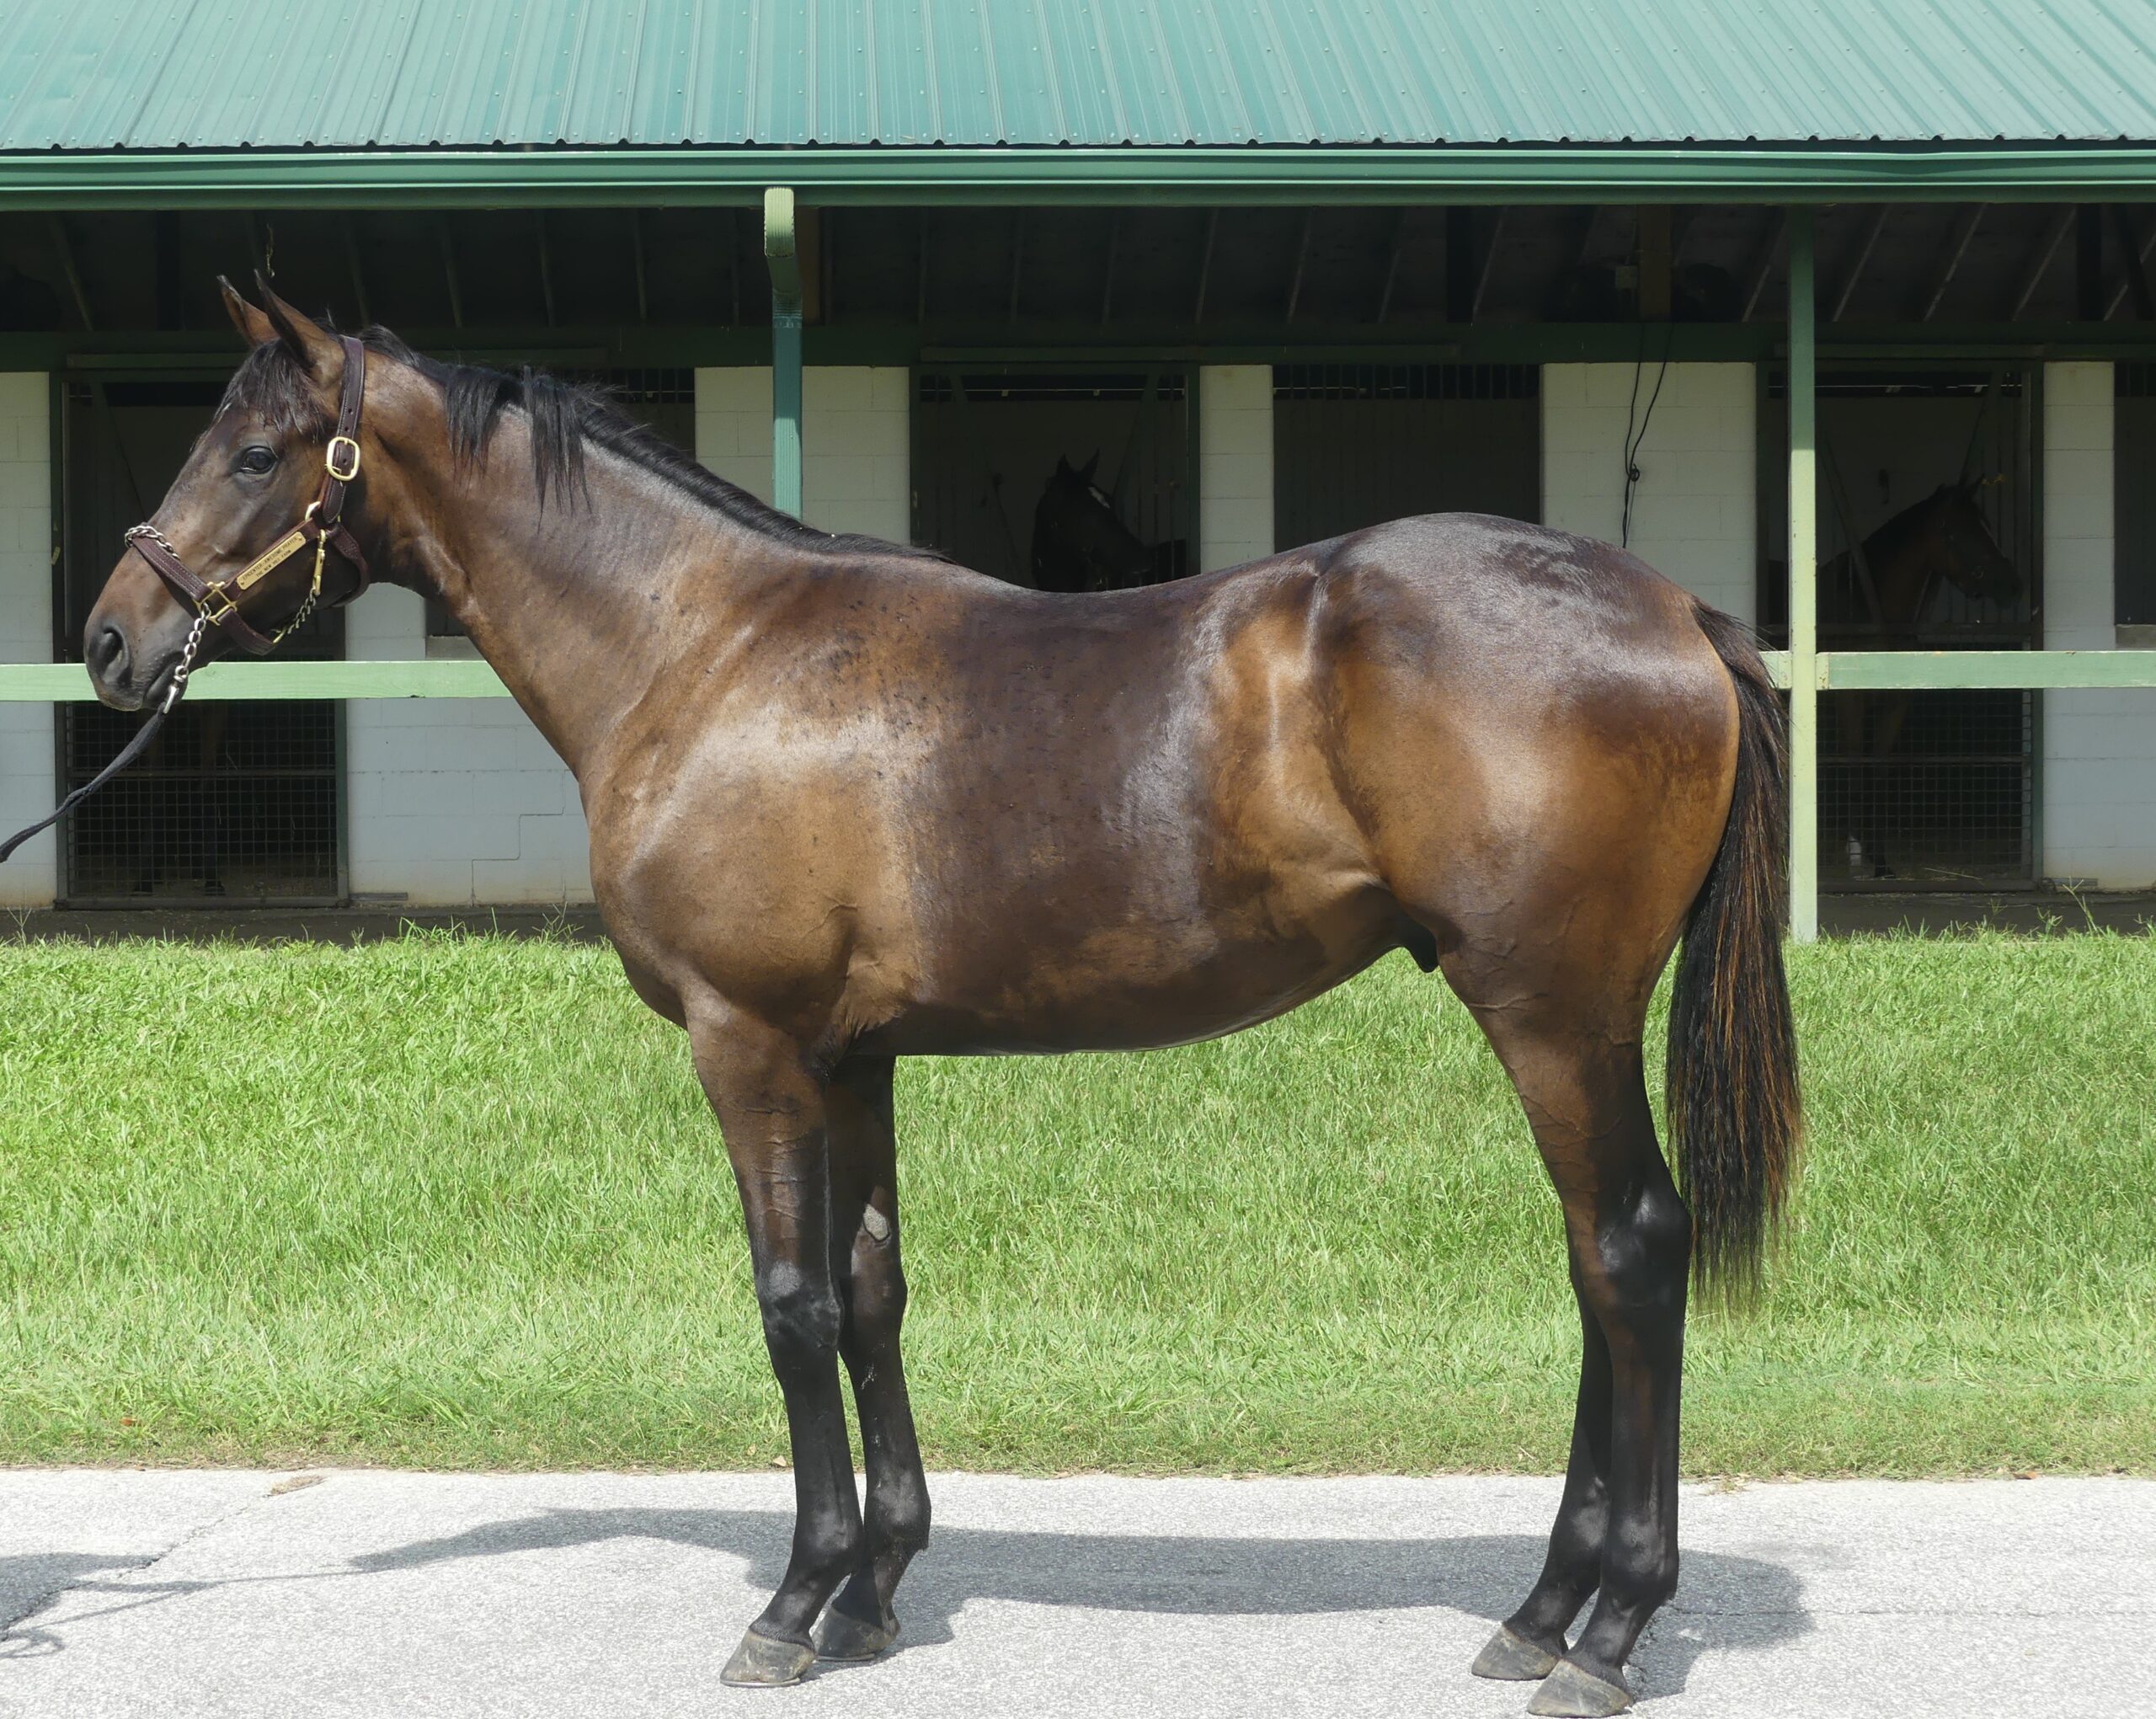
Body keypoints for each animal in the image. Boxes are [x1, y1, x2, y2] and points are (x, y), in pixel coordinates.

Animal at [77, 280, 1800, 1719]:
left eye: (251, 451)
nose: (110, 638)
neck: (702, 650)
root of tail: (1672, 611)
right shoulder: (852, 1059)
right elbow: (871, 1293)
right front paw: (874, 1590)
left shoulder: (751, 1046)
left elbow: (790, 1308)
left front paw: (790, 1606)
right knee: (1595, 1265)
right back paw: (1541, 1608)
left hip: (1554, 1015)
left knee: (1631, 1252)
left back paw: (1608, 1631)